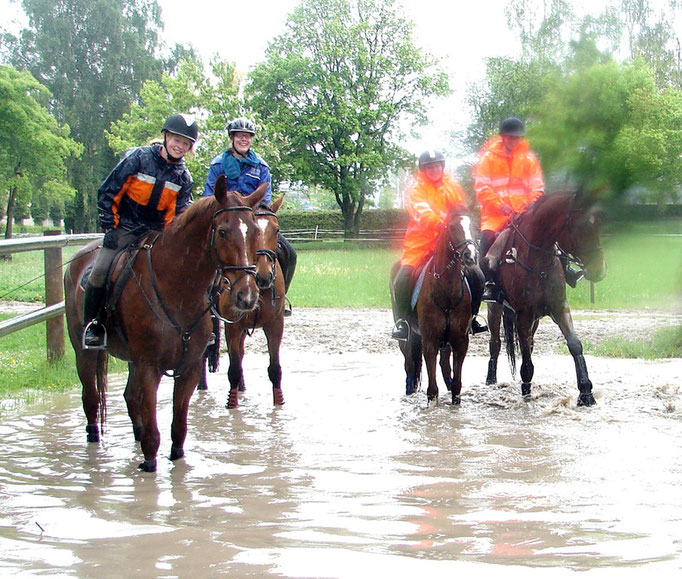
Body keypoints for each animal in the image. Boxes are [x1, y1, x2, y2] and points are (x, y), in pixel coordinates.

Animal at [63, 177, 266, 472]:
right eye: (223, 232)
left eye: (255, 232)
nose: (247, 295)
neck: (175, 287)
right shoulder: (150, 367)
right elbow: (152, 432)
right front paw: (148, 465)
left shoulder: (188, 368)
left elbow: (178, 427)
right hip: (85, 353)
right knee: (90, 399)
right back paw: (94, 441)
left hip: (132, 361)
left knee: (129, 398)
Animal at [197, 195, 286, 408]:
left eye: (276, 230)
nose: (263, 275)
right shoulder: (233, 326)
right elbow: (234, 368)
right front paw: (232, 404)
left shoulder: (275, 325)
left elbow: (274, 369)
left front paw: (279, 403)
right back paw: (202, 386)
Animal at [390, 208, 476, 408]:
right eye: (452, 227)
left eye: (474, 225)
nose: (470, 255)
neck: (447, 292)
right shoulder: (430, 341)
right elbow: (432, 390)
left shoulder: (460, 341)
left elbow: (457, 384)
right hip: (406, 337)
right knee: (409, 365)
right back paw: (409, 392)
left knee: (444, 367)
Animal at [484, 191, 604, 408]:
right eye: (581, 226)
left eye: (599, 223)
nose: (599, 270)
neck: (537, 261)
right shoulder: (524, 314)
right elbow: (525, 357)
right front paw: (526, 391)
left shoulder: (559, 308)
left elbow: (575, 344)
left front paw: (586, 392)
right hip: (495, 310)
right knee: (495, 343)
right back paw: (491, 379)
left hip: (536, 320)